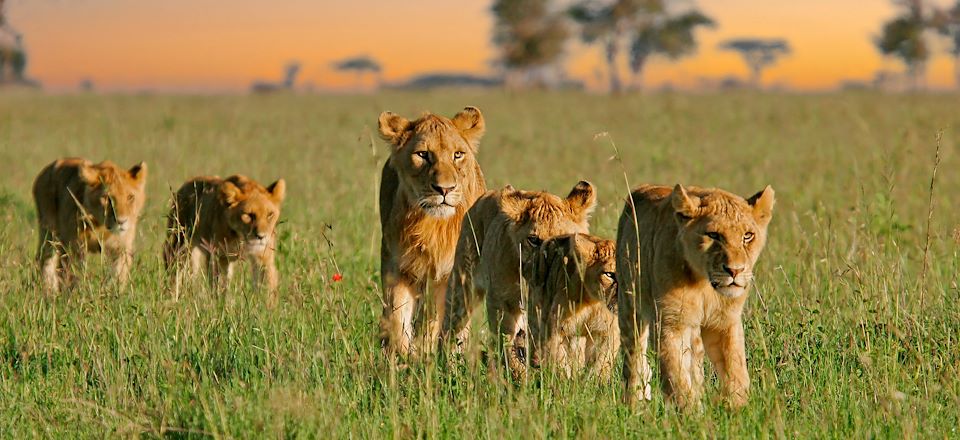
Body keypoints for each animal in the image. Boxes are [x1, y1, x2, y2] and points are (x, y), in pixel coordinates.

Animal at [33, 158, 148, 292]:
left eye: (130, 197)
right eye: (107, 198)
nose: (121, 221)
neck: (101, 226)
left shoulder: (121, 248)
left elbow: (118, 274)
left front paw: (112, 292)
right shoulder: (75, 248)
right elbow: (74, 274)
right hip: (50, 234)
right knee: (47, 262)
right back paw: (50, 291)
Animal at [376, 105, 488, 358]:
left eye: (458, 155)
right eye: (422, 155)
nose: (444, 189)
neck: (433, 226)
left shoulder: (456, 273)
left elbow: (448, 319)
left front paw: (448, 354)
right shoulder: (398, 268)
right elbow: (397, 317)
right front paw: (402, 356)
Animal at [440, 180, 592, 380]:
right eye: (533, 240)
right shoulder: (501, 303)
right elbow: (505, 342)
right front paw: (519, 375)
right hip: (462, 287)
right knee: (451, 331)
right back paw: (448, 371)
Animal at [528, 232, 620, 380]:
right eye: (609, 274)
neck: (591, 302)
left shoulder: (608, 332)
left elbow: (600, 364)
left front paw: (592, 383)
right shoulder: (555, 329)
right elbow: (560, 361)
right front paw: (565, 382)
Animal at [620, 183, 776, 410]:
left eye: (747, 236)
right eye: (713, 235)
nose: (735, 270)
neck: (704, 284)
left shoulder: (725, 321)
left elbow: (736, 368)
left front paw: (738, 409)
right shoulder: (672, 322)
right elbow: (676, 375)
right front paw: (691, 414)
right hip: (629, 307)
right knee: (634, 358)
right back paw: (634, 405)